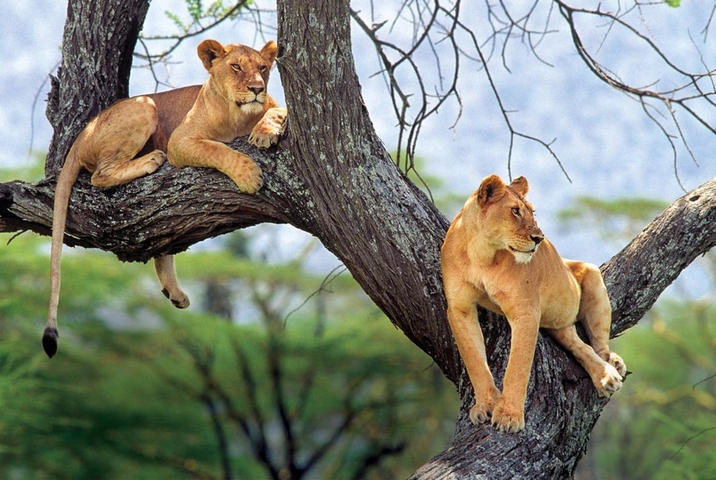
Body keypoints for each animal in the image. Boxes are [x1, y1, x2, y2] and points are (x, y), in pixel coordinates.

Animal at [43, 39, 287, 358]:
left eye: (263, 68)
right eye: (236, 67)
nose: (258, 88)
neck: (239, 116)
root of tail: (81, 134)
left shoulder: (277, 107)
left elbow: (277, 111)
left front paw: (264, 132)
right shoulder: (180, 142)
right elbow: (217, 149)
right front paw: (247, 174)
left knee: (163, 238)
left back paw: (175, 293)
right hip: (144, 106)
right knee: (100, 174)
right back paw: (150, 161)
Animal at [440, 174, 627, 433]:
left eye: (532, 212)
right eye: (515, 211)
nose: (539, 239)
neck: (482, 253)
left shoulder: (525, 311)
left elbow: (517, 366)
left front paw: (509, 416)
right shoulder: (460, 308)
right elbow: (474, 361)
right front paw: (486, 405)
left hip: (592, 278)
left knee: (599, 345)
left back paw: (611, 368)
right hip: (560, 324)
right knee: (579, 346)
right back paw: (604, 374)